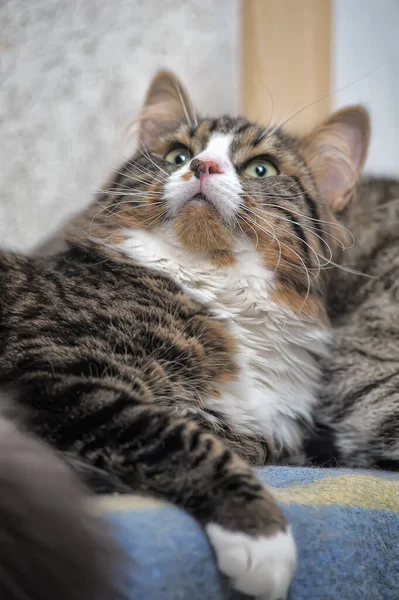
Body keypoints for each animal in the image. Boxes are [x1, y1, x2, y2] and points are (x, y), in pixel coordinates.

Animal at [0, 71, 376, 600]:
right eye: (179, 155)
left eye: (260, 168)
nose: (203, 165)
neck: (217, 291)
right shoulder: (59, 375)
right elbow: (180, 439)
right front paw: (261, 535)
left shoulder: (265, 432)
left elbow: (234, 441)